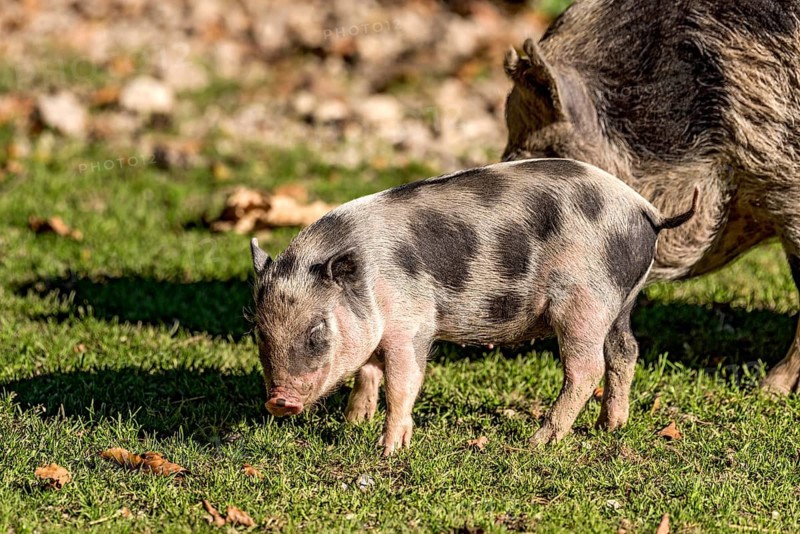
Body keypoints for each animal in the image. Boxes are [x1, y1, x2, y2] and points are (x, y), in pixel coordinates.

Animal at [249, 159, 697, 455]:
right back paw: (609, 427)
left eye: (317, 331)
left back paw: (536, 442)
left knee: (587, 369)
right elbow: (368, 371)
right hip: (623, 301)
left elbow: (402, 382)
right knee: (625, 352)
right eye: (259, 333)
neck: (372, 280)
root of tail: (647, 210)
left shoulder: (413, 323)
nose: (278, 401)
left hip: (585, 302)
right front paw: (354, 420)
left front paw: (388, 450)